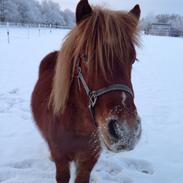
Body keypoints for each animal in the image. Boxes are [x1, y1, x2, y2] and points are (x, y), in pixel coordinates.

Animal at [31, 0, 142, 182]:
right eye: (86, 56)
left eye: (133, 59)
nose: (126, 131)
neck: (77, 127)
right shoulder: (61, 160)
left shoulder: (88, 160)